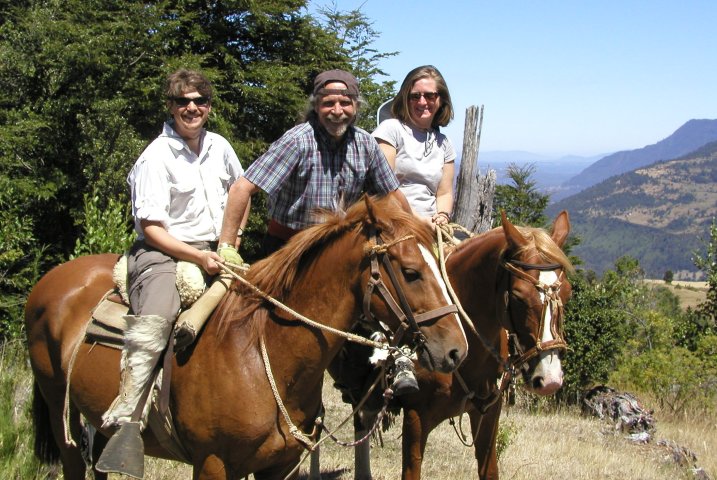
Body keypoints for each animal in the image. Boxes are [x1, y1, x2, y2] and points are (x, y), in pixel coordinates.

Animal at [23, 195, 470, 480]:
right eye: (411, 272)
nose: (456, 350)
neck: (261, 353)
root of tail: (51, 281)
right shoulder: (212, 464)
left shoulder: (276, 467)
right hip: (58, 406)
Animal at [310, 210, 572, 480]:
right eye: (519, 296)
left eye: (568, 292)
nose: (549, 379)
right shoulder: (416, 417)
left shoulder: (488, 414)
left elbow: (489, 470)